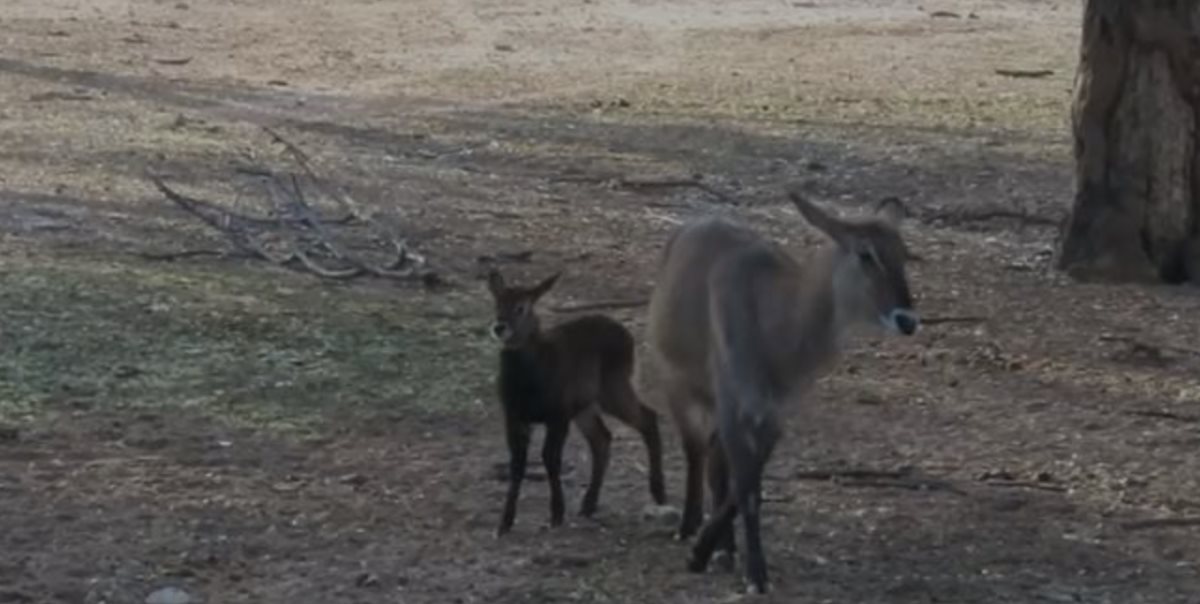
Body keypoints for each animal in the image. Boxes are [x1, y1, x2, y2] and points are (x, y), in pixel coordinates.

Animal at [648, 189, 916, 595]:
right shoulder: (733, 403)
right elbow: (745, 489)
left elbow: (746, 485)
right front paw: (749, 572)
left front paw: (716, 554)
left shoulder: (776, 413)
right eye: (865, 253)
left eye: (903, 253)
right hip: (677, 383)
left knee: (714, 461)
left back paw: (723, 549)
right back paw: (688, 526)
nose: (908, 320)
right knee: (695, 451)